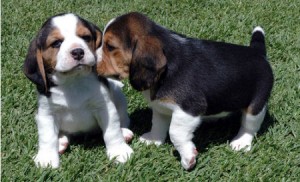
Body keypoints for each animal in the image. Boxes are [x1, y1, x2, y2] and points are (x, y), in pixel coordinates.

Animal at [24, 13, 134, 168]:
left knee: (122, 119)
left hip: (118, 96)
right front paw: (47, 159)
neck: (73, 81)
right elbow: (47, 137)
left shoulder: (104, 106)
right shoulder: (46, 113)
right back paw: (61, 142)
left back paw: (124, 132)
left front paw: (119, 151)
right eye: (56, 43)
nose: (78, 51)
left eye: (86, 37)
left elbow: (112, 131)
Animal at [96, 12, 274, 170]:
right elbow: (158, 124)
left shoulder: (190, 109)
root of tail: (257, 52)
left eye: (110, 47)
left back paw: (241, 142)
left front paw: (188, 157)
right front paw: (154, 140)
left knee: (249, 126)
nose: (92, 60)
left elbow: (175, 133)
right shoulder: (161, 107)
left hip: (256, 105)